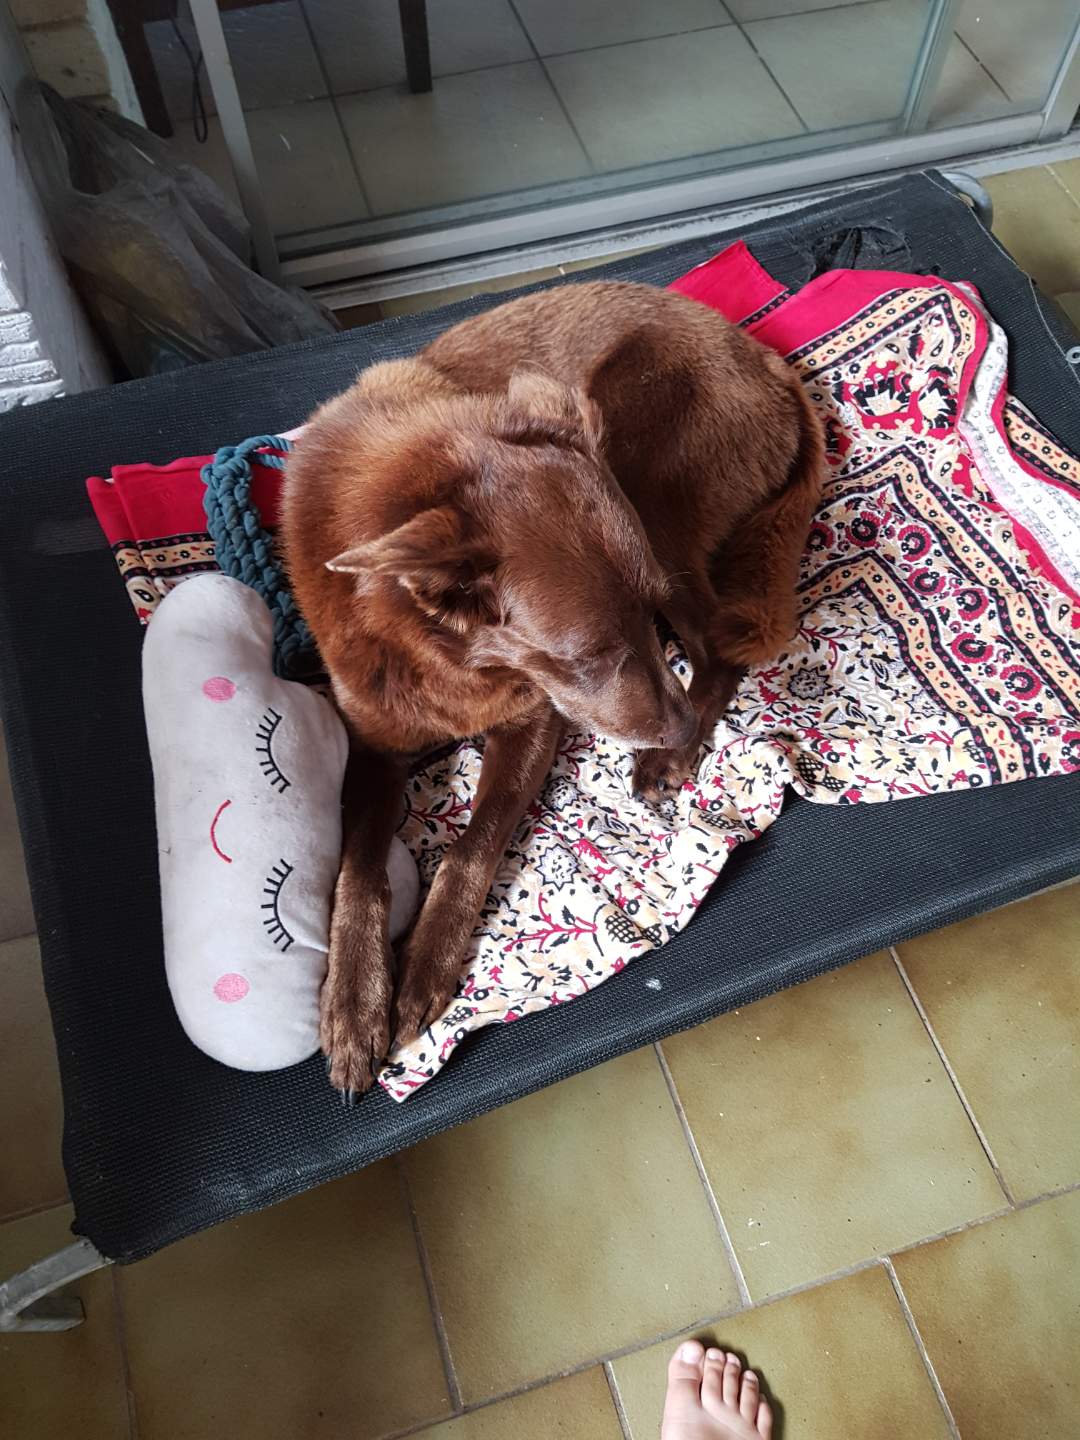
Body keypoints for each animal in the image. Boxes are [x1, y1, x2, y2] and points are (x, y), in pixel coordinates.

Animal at [281, 280, 823, 1093]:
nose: (672, 728)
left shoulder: (537, 719)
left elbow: (473, 845)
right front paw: (352, 1001)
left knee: (719, 650)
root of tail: (764, 360)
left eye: (639, 621)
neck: (448, 658)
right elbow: (359, 866)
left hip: (644, 471)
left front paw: (423, 972)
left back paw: (669, 756)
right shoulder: (372, 743)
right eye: (590, 652)